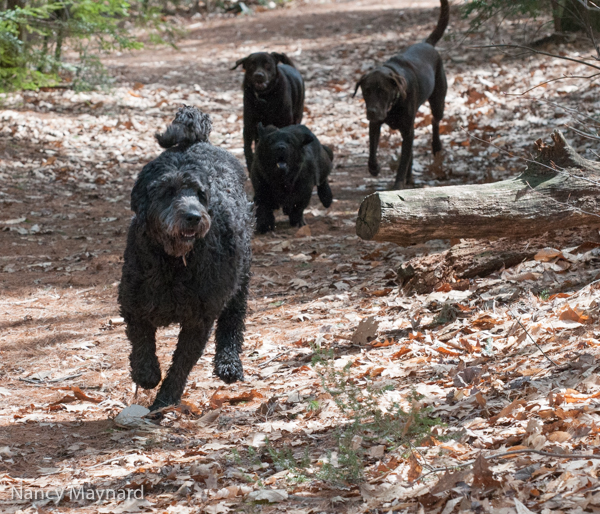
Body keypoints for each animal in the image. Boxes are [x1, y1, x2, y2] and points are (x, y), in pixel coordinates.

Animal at [118, 104, 252, 408]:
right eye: (168, 191)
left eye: (201, 193)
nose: (193, 217)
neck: (174, 264)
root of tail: (196, 141)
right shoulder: (134, 305)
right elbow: (142, 345)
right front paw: (147, 375)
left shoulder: (199, 319)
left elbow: (181, 363)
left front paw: (165, 399)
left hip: (240, 277)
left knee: (233, 319)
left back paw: (228, 363)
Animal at [354, 0, 448, 188]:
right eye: (366, 91)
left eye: (382, 91)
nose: (372, 111)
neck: (393, 104)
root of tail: (427, 44)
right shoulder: (375, 124)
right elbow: (373, 148)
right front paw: (374, 167)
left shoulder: (407, 130)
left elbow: (403, 162)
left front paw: (397, 185)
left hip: (438, 101)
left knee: (435, 120)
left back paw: (436, 146)